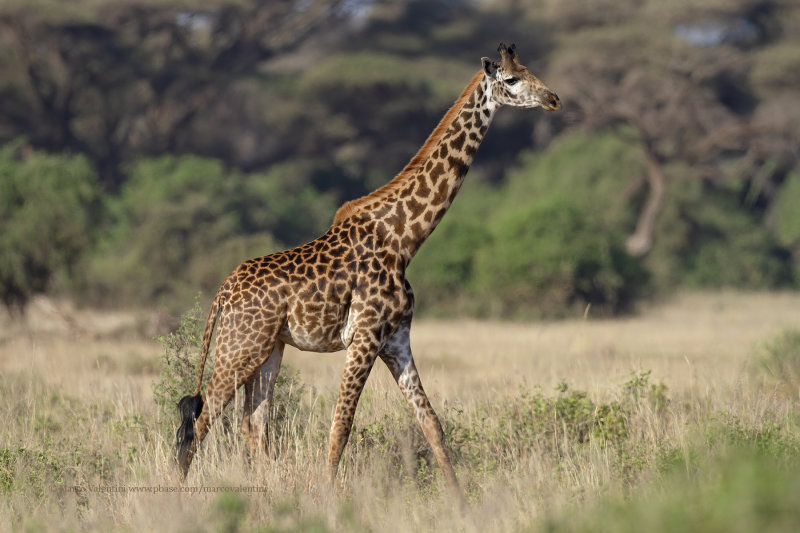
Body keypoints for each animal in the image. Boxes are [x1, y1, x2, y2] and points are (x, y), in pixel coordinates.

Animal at [177, 43, 564, 492]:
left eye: (530, 70)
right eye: (512, 79)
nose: (553, 98)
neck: (403, 239)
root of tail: (222, 291)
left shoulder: (396, 338)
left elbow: (431, 423)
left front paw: (458, 498)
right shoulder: (363, 336)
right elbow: (340, 427)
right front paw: (328, 497)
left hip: (269, 348)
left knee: (252, 423)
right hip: (239, 347)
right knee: (201, 419)